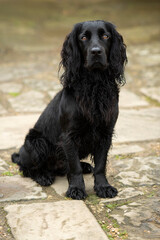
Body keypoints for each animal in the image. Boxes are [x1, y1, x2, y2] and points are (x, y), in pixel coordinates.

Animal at [11, 20, 127, 200]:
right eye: (84, 37)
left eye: (106, 36)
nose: (96, 52)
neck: (94, 86)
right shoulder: (69, 136)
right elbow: (74, 167)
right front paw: (76, 189)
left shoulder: (105, 133)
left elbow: (100, 165)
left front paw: (103, 187)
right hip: (36, 142)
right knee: (26, 169)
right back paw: (43, 176)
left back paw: (85, 165)